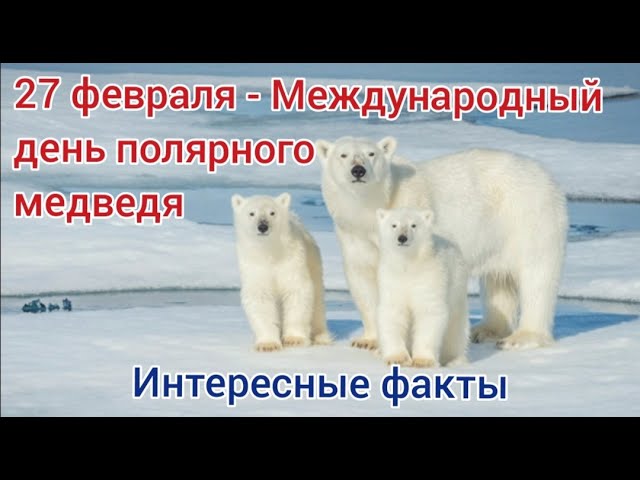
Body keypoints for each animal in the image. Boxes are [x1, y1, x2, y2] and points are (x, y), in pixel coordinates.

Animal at [231, 193, 331, 351]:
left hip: (314, 262)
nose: (263, 226)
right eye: (251, 213)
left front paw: (294, 340)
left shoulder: (292, 261)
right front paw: (268, 344)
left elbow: (297, 291)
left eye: (272, 212)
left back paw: (321, 338)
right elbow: (260, 298)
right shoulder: (254, 267)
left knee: (317, 303)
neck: (271, 252)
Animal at [316, 136, 568, 351]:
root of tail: (547, 176)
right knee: (498, 280)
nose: (358, 170)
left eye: (371, 154)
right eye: (343, 155)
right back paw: (486, 330)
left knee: (537, 275)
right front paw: (368, 340)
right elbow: (364, 280)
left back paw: (522, 337)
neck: (372, 209)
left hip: (528, 216)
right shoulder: (354, 235)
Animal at [376, 207, 469, 367]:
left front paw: (423, 360)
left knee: (456, 330)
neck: (409, 265)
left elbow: (428, 312)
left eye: (413, 225)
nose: (402, 238)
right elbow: (393, 313)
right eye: (394, 225)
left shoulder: (430, 277)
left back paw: (455, 360)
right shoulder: (391, 279)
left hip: (458, 289)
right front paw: (398, 358)